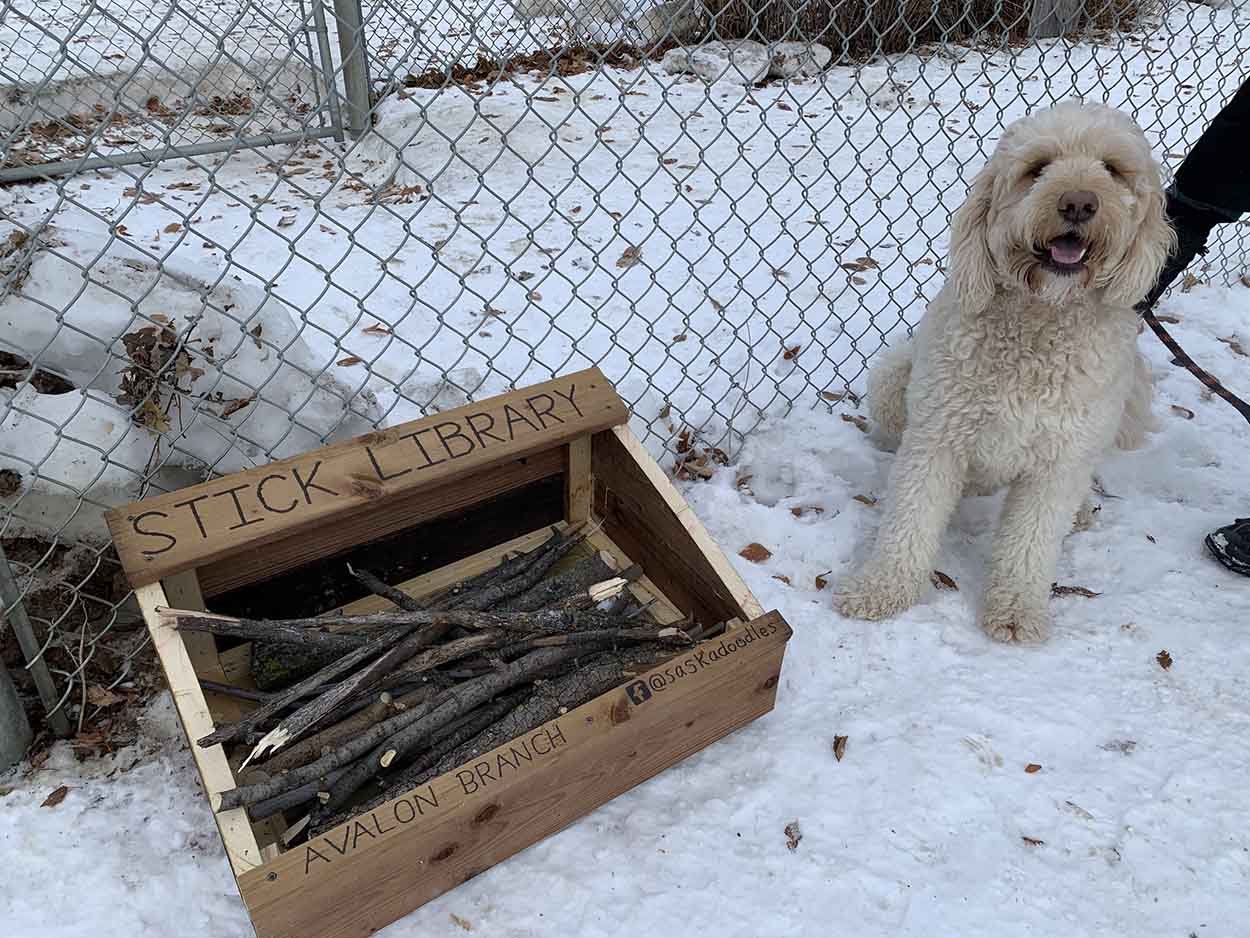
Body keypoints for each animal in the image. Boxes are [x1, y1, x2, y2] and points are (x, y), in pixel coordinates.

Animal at [835, 104, 1175, 645]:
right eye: (1038, 167)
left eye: (1112, 169)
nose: (1078, 203)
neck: (1039, 324)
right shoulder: (938, 436)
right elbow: (909, 520)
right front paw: (880, 589)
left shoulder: (1059, 462)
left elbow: (1031, 544)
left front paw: (1015, 610)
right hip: (892, 379)